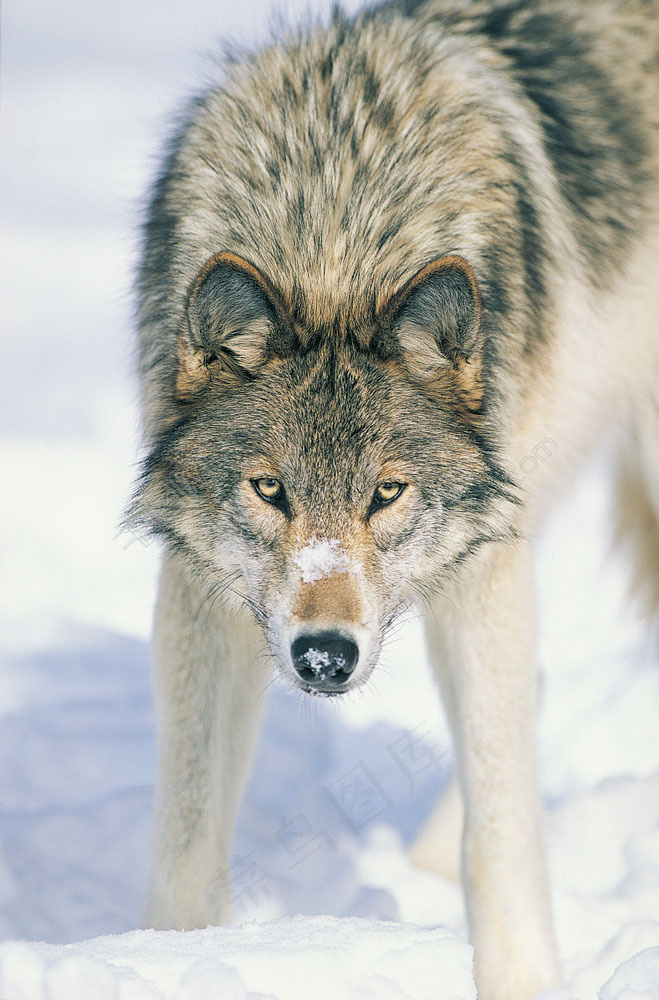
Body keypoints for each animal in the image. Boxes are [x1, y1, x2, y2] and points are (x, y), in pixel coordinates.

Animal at [129, 3, 659, 996]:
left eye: (385, 493)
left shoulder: (485, 571)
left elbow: (500, 841)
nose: (324, 656)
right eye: (270, 489)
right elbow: (184, 849)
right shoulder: (206, 595)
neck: (337, 226)